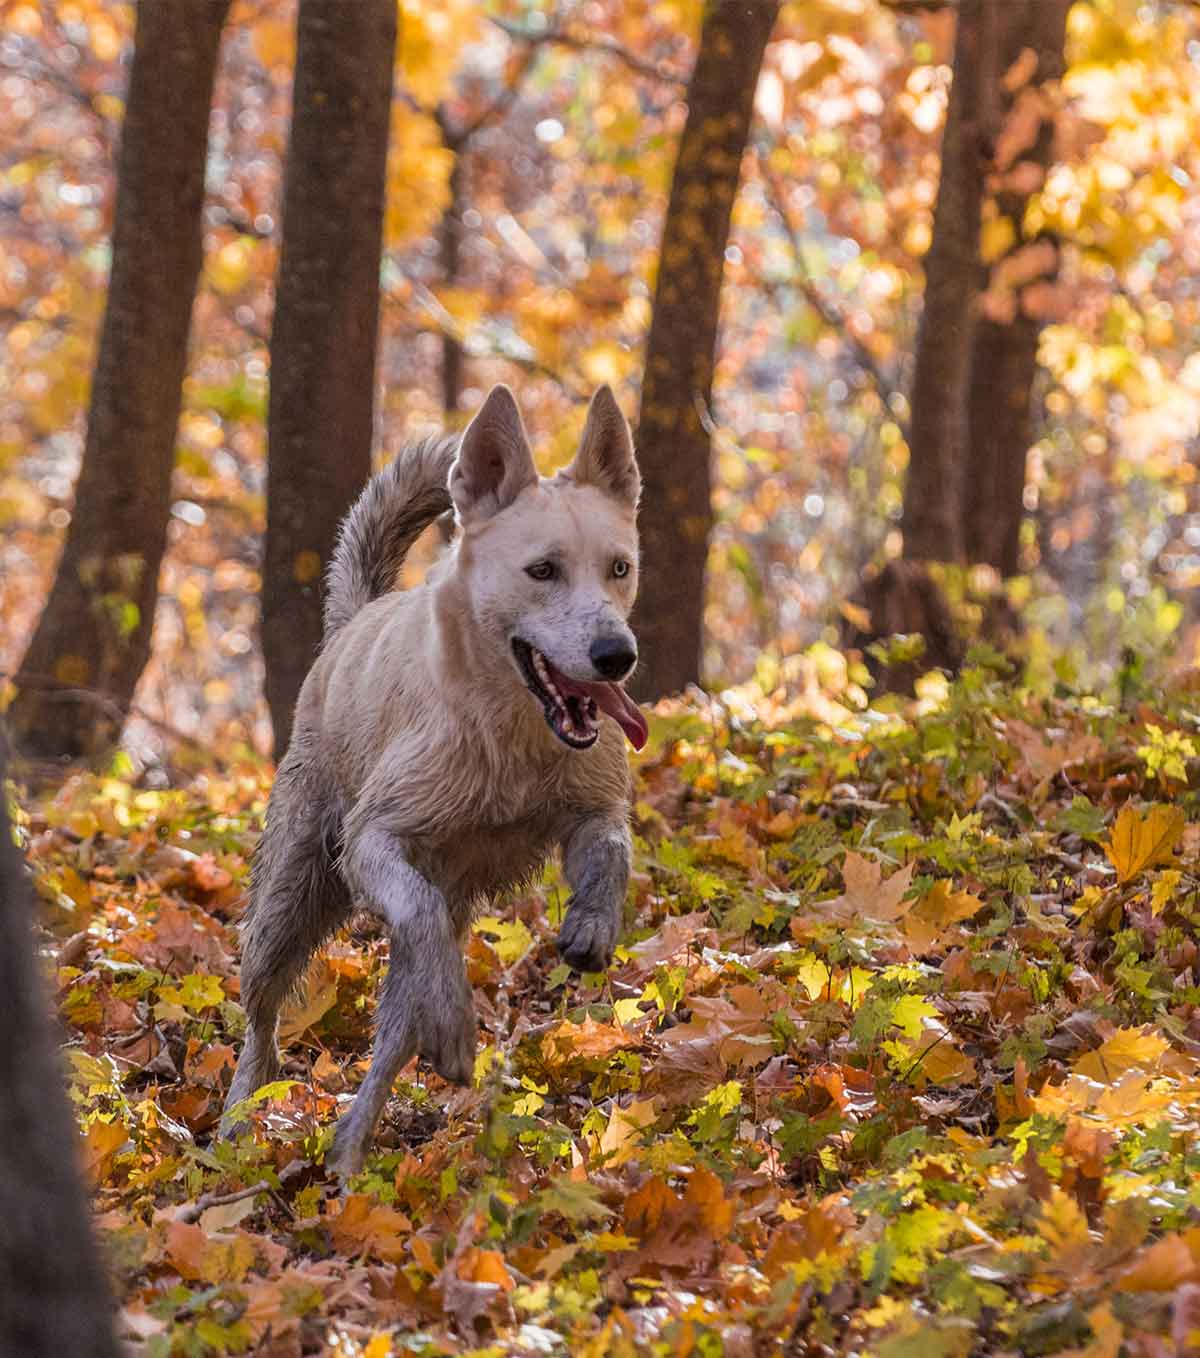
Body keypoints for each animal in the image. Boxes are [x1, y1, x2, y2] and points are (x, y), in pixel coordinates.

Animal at [218, 385, 643, 1178]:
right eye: (543, 570)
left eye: (619, 568)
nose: (616, 655)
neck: (509, 736)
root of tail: (350, 624)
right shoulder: (373, 842)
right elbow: (417, 909)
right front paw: (456, 1025)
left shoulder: (590, 807)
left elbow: (613, 848)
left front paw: (592, 925)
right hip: (289, 902)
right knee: (262, 1018)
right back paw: (236, 1123)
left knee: (392, 1036)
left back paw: (349, 1153)